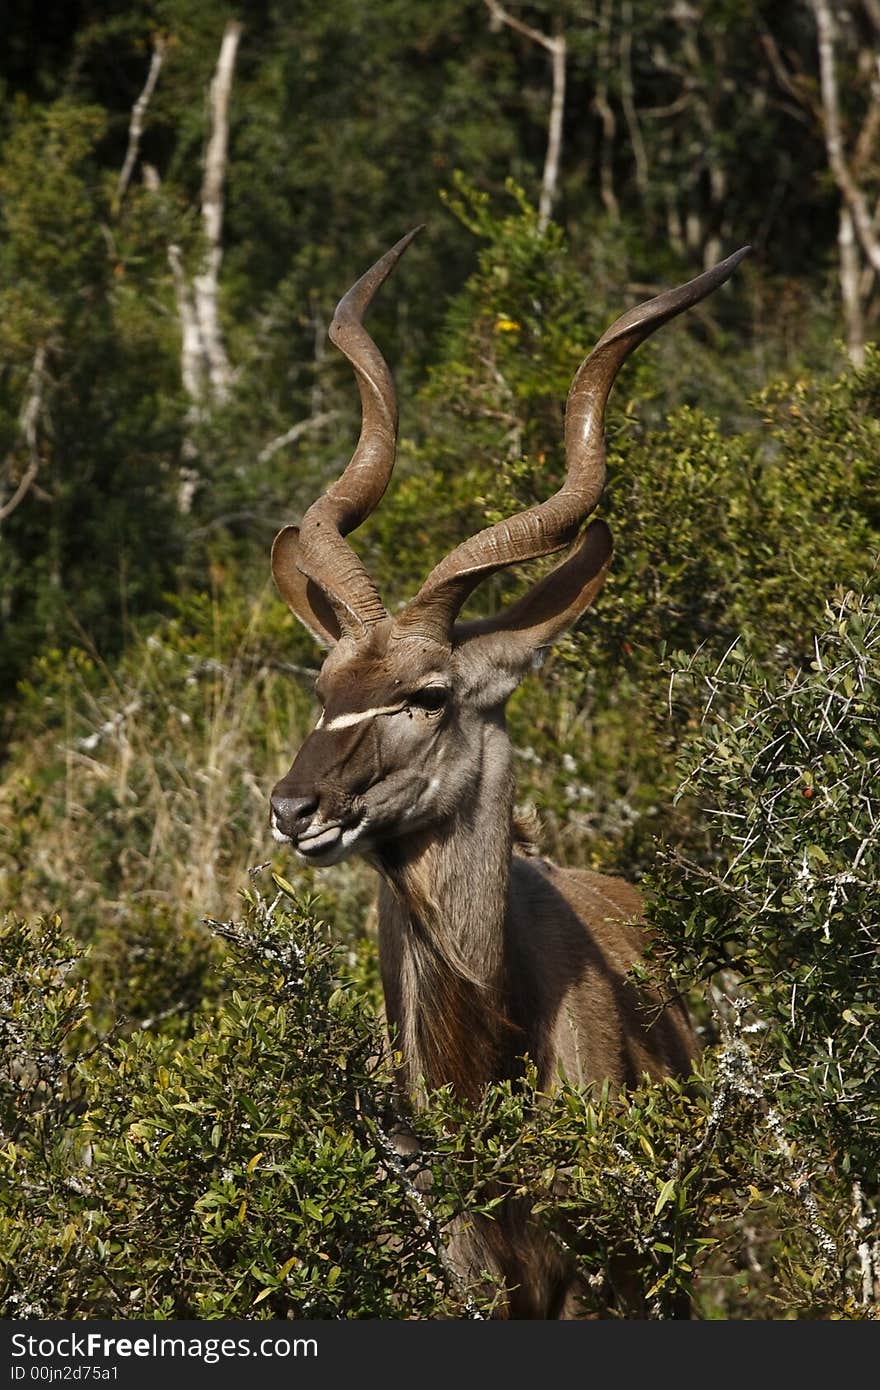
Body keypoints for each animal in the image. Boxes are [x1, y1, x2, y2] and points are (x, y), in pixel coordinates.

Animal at [269, 233, 750, 1317]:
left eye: (428, 693)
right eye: (323, 686)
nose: (293, 808)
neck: (486, 1062)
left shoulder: (600, 1272)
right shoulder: (470, 1275)